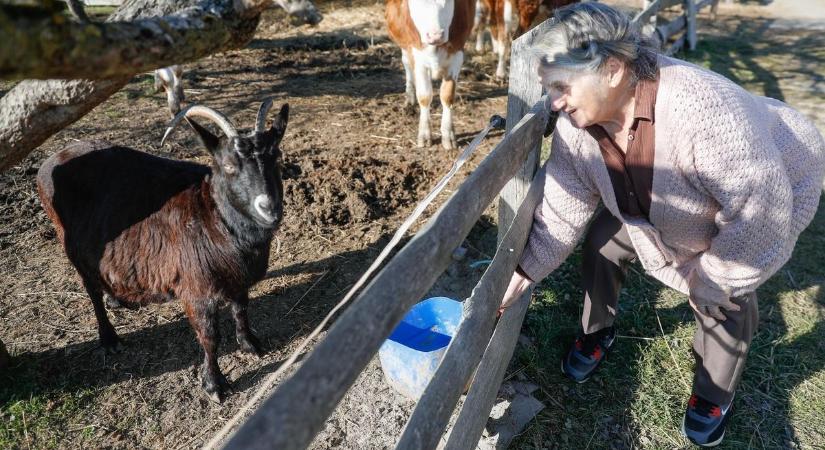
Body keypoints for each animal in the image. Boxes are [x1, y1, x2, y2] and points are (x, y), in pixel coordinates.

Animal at [37, 101, 290, 400]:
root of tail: (50, 161)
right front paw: (215, 385)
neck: (212, 214)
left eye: (277, 157)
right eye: (228, 166)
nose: (269, 208)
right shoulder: (196, 288)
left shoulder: (238, 278)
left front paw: (250, 344)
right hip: (71, 245)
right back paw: (109, 338)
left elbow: (241, 310)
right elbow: (210, 337)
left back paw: (116, 298)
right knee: (90, 290)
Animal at [384, 0, 474, 149]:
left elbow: (447, 95)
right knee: (406, 64)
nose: (435, 35)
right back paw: (410, 98)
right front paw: (425, 135)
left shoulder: (457, 54)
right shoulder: (417, 55)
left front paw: (448, 134)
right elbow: (424, 96)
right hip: (405, 47)